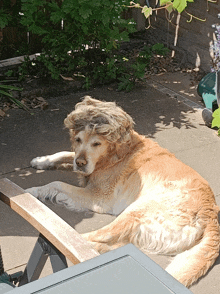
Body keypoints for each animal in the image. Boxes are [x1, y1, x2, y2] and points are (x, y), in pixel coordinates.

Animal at [27, 96, 220, 288]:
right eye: (78, 139)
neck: (115, 153)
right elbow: (64, 153)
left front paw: (32, 191)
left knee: (98, 236)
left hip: (136, 210)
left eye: (96, 143)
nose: (81, 163)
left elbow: (56, 183)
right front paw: (41, 161)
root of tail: (210, 215)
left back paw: (67, 240)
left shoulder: (97, 196)